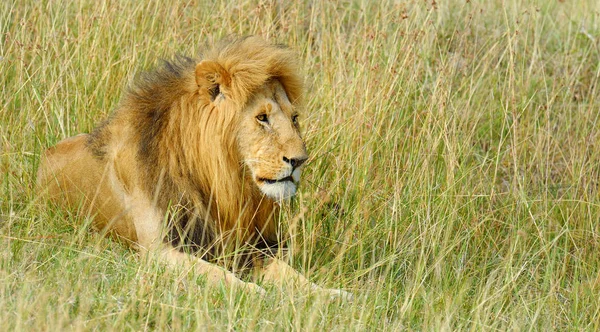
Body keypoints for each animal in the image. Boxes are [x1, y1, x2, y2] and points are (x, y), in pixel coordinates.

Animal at [37, 36, 352, 298]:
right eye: (262, 117)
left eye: (294, 118)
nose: (300, 160)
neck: (220, 182)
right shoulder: (157, 250)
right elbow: (216, 273)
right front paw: (253, 292)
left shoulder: (252, 246)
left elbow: (291, 274)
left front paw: (330, 294)